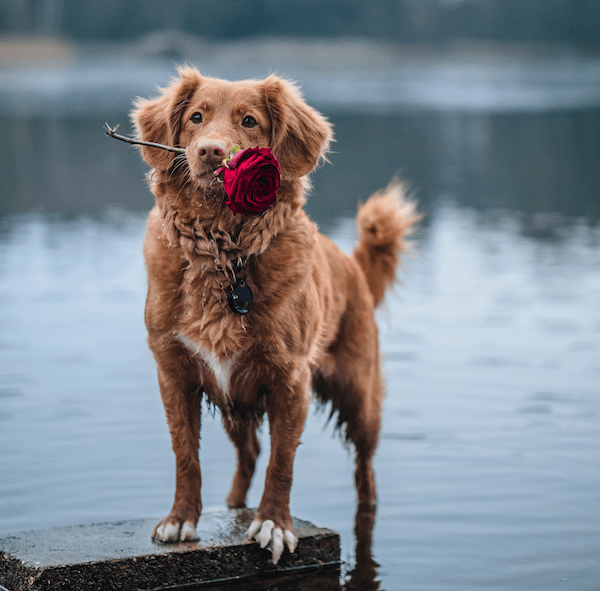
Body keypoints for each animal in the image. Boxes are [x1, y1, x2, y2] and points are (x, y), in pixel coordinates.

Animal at [134, 67, 420, 568]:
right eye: (195, 118)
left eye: (249, 121)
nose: (211, 151)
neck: (223, 253)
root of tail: (352, 265)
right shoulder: (175, 374)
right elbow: (186, 454)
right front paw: (181, 520)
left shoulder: (290, 380)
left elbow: (282, 462)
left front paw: (274, 524)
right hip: (234, 399)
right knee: (248, 452)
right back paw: (232, 505)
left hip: (359, 398)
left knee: (364, 469)